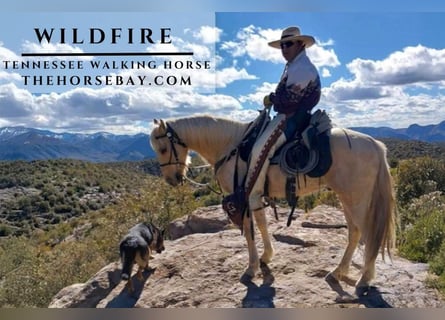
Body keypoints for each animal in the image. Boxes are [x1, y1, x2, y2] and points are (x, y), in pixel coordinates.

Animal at [150, 114, 396, 296]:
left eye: (162, 149)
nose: (171, 180)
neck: (231, 146)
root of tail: (376, 145)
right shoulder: (255, 197)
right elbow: (262, 225)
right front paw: (266, 257)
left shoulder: (244, 198)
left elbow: (249, 232)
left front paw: (251, 269)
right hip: (348, 198)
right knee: (354, 233)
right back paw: (338, 272)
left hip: (357, 199)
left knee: (368, 236)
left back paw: (364, 280)